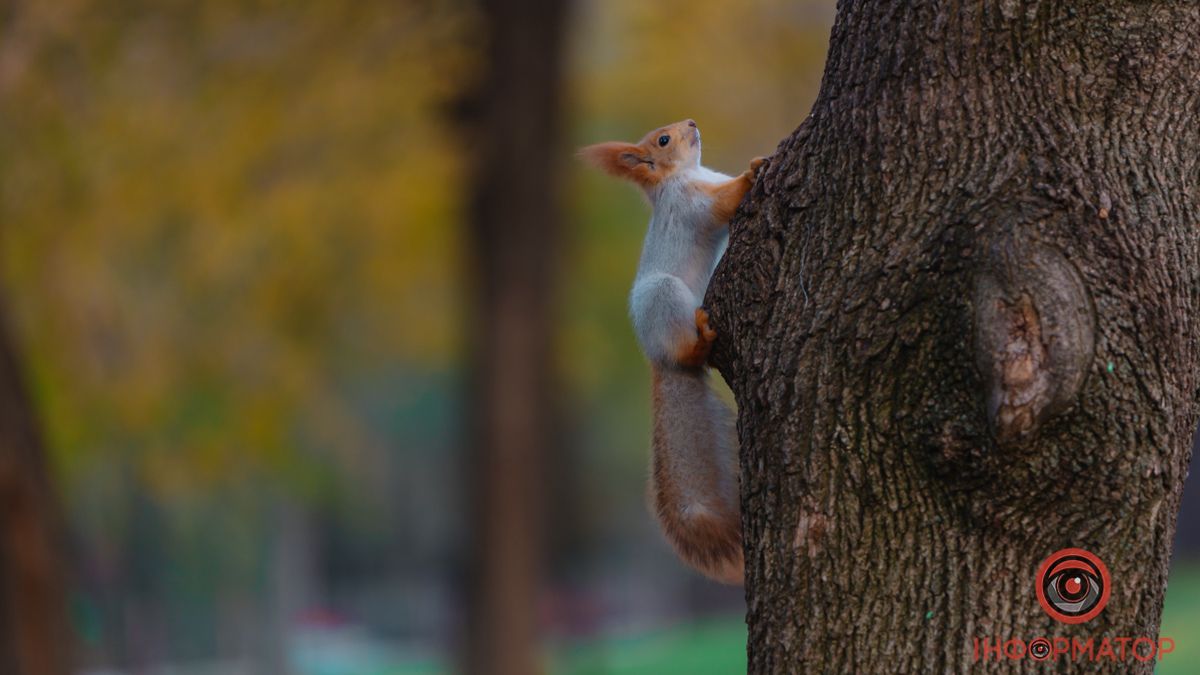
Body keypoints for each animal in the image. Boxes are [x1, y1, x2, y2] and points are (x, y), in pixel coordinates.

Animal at [578, 120, 763, 583]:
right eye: (663, 140)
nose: (692, 124)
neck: (686, 173)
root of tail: (658, 356)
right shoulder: (691, 202)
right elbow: (723, 203)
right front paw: (753, 171)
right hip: (666, 296)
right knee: (691, 352)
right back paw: (702, 337)